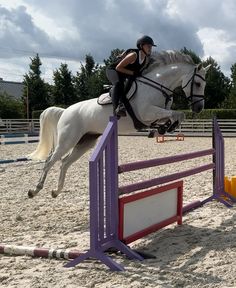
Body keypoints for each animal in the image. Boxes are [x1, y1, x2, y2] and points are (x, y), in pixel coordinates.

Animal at [27, 50, 210, 198]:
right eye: (198, 83)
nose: (199, 108)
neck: (159, 86)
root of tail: (65, 111)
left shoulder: (155, 114)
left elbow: (176, 115)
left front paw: (163, 129)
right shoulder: (147, 113)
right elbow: (177, 114)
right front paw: (166, 127)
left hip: (85, 142)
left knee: (64, 162)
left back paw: (55, 191)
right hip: (68, 140)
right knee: (50, 160)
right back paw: (34, 190)